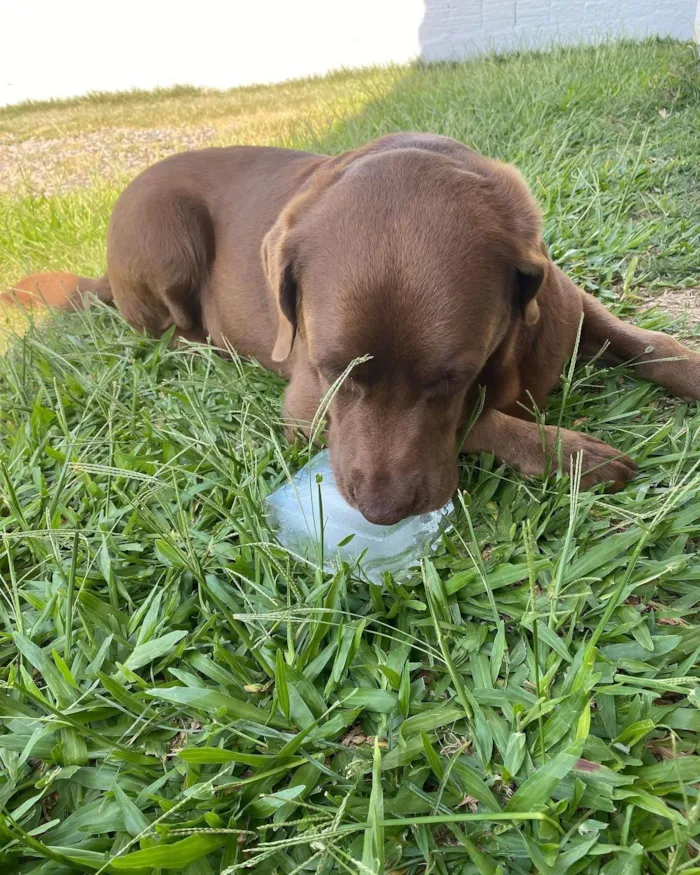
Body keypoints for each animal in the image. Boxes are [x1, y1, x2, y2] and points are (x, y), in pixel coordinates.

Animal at [6, 133, 700, 524]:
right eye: (333, 369)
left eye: (451, 376)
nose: (380, 513)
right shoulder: (307, 404)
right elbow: (482, 420)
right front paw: (569, 453)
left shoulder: (564, 305)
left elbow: (638, 339)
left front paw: (685, 365)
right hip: (163, 226)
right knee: (163, 332)